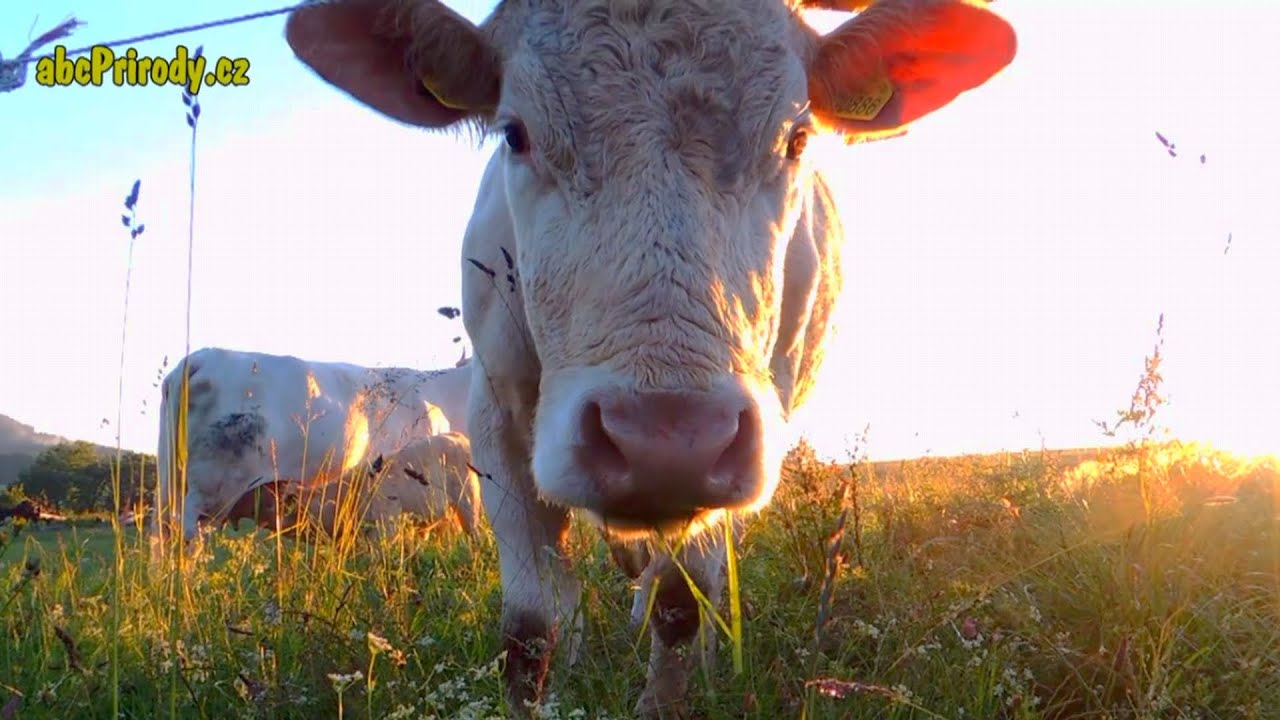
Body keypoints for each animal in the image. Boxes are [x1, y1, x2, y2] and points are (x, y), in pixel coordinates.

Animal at [286, 0, 1016, 715]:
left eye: (796, 139)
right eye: (515, 134)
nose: (663, 441)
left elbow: (682, 602)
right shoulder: (496, 419)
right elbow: (531, 626)